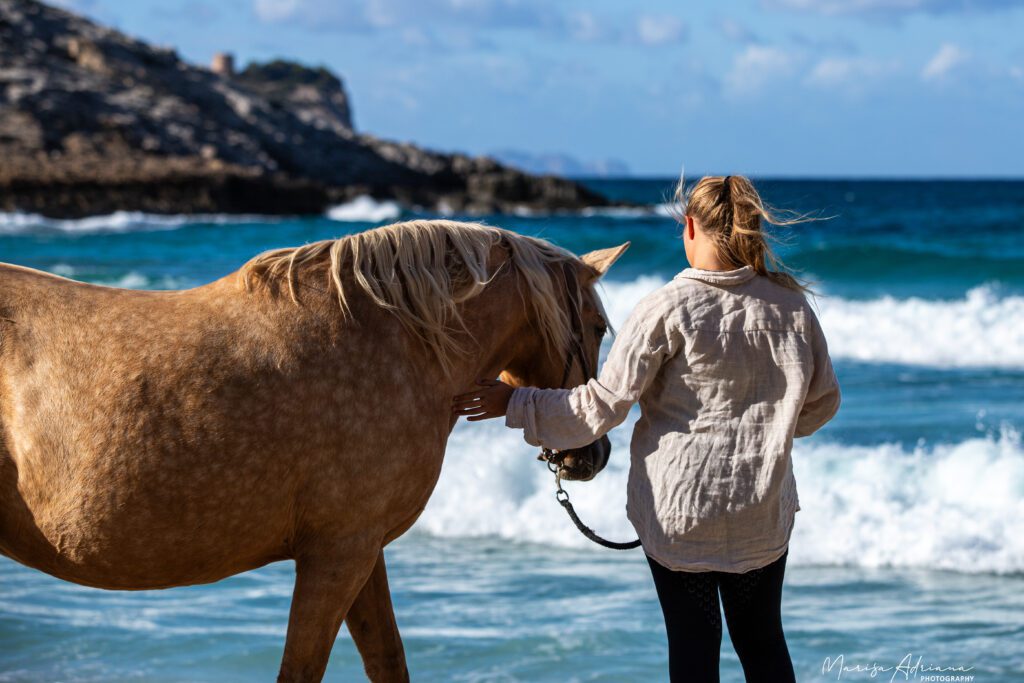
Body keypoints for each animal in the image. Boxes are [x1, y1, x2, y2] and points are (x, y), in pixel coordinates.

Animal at [0, 219, 629, 682]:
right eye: (599, 327)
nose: (592, 457)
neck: (391, 341)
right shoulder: (336, 554)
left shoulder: (362, 549)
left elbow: (388, 661)